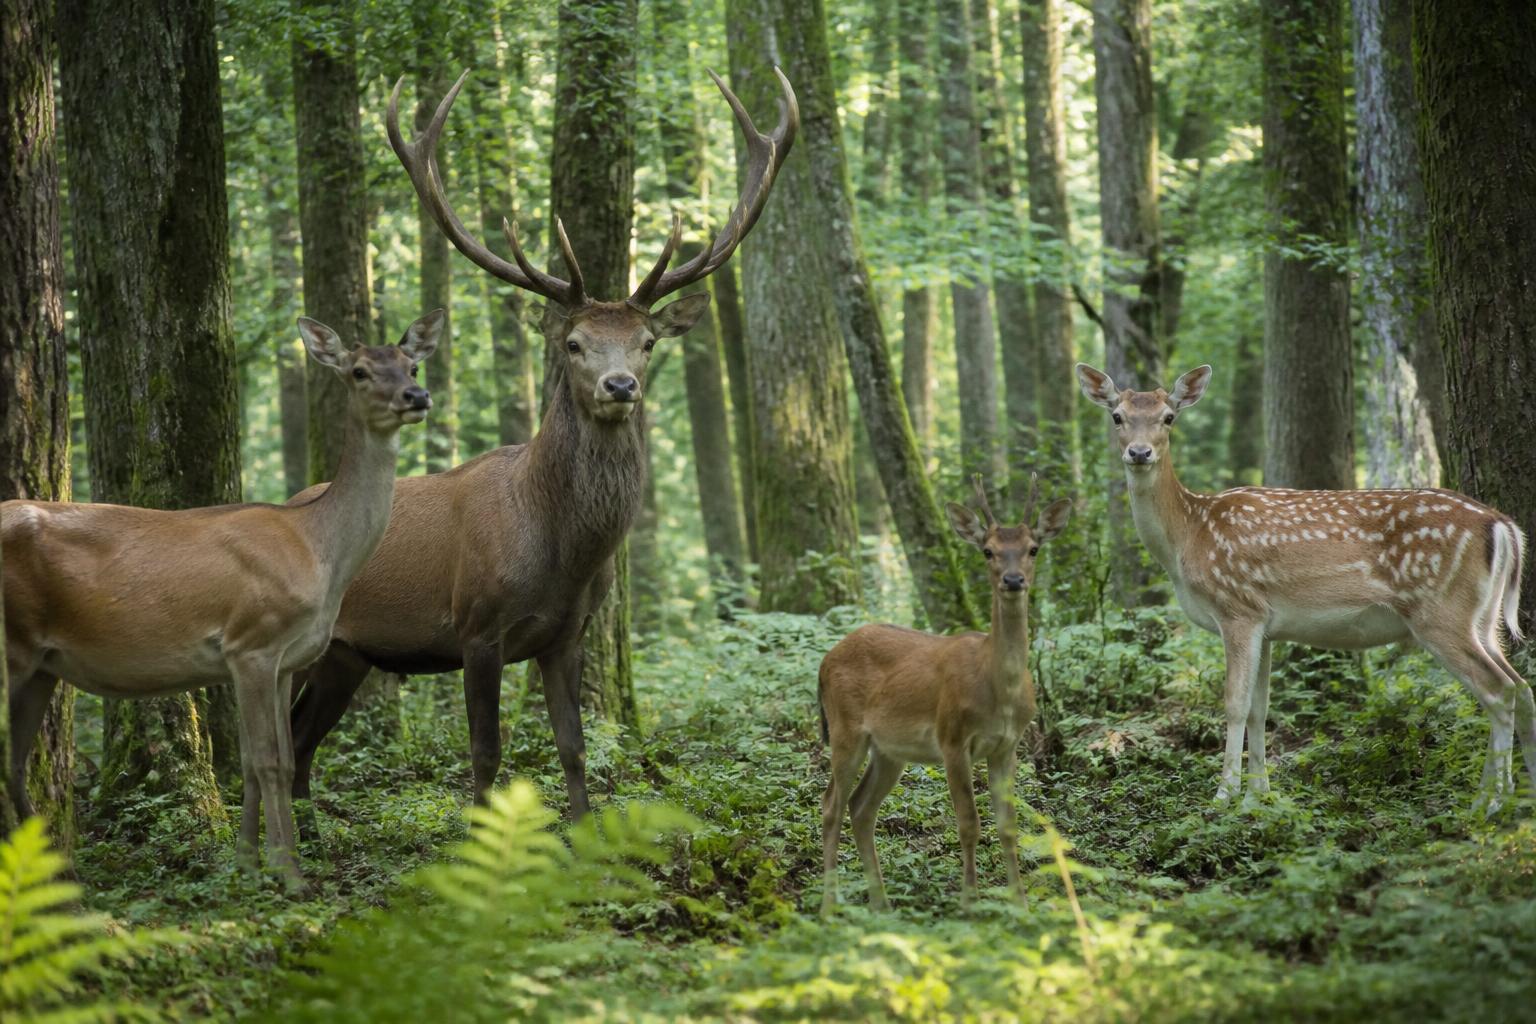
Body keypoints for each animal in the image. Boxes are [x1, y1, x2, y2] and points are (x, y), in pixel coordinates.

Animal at [2, 312, 440, 883]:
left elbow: (266, 762)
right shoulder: (252, 641)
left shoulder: (282, 659)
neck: (318, 551)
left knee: (14, 764)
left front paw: (248, 866)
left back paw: (60, 880)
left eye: (412, 365)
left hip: (41, 664)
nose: (417, 396)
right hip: (12, 647)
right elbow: (270, 762)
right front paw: (289, 874)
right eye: (360, 371)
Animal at [285, 67, 797, 831]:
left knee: (300, 734)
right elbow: (486, 756)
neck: (560, 552)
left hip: (347, 654)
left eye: (647, 343)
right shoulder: (476, 627)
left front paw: (583, 834)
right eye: (575, 343)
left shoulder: (568, 634)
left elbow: (573, 746)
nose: (620, 385)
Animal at [817, 475, 1072, 913]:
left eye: (1033, 548)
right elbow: (969, 823)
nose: (1013, 580)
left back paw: (881, 904)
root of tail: (823, 662)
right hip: (844, 729)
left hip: (888, 750)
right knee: (831, 805)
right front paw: (969, 903)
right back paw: (829, 906)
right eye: (987, 550)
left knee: (861, 807)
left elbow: (1008, 826)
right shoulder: (952, 737)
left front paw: (1020, 905)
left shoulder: (1008, 746)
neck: (997, 689)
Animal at [1076, 362, 1533, 813]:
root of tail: (1502, 525)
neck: (1188, 535)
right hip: (1483, 618)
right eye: (1117, 416)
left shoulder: (1237, 608)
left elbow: (1234, 704)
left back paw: (1490, 802)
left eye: (1168, 417)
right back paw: (1518, 793)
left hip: (1441, 611)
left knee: (1499, 690)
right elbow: (1260, 709)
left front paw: (1224, 797)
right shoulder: (1265, 624)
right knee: (1522, 686)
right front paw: (1259, 796)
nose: (1139, 453)